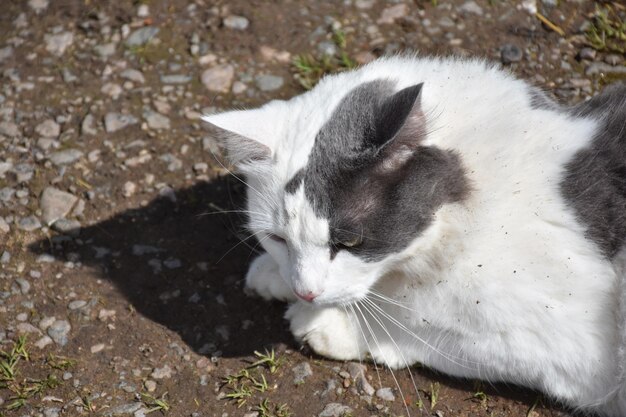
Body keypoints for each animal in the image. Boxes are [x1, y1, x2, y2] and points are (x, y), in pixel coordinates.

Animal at [202, 56, 624, 416]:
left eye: (349, 243)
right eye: (277, 239)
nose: (306, 292)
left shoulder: (572, 348)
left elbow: (419, 322)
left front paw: (329, 324)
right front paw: (275, 276)